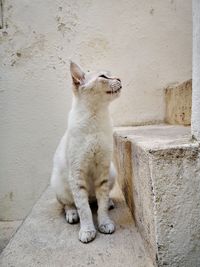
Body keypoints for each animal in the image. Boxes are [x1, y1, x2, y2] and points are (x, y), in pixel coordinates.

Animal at [50, 61, 121, 244]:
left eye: (112, 74)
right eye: (103, 76)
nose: (119, 78)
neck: (96, 117)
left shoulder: (103, 170)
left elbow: (101, 206)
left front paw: (104, 224)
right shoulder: (77, 173)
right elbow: (84, 209)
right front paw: (88, 231)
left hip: (112, 172)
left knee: (96, 200)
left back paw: (109, 202)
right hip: (58, 182)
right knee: (69, 203)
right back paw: (72, 214)